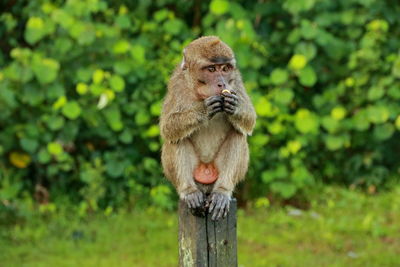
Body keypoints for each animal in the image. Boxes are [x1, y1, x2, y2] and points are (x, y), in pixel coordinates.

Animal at [159, 36, 256, 221]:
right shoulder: (177, 83)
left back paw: (222, 191)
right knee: (177, 138)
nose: (222, 83)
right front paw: (204, 109)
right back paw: (189, 191)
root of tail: (206, 169)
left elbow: (250, 121)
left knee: (238, 133)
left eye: (225, 68)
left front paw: (235, 107)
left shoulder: (235, 81)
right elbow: (168, 127)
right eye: (211, 69)